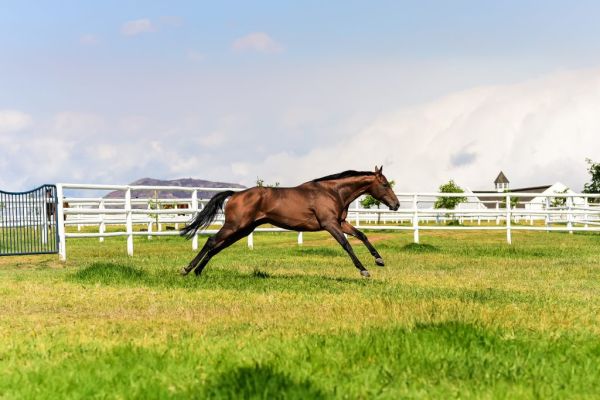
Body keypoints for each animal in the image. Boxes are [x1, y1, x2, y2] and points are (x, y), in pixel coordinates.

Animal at [180, 166, 400, 278]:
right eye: (384, 184)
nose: (396, 205)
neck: (332, 192)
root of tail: (235, 195)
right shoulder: (330, 224)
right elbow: (346, 244)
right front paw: (364, 270)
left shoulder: (341, 222)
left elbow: (362, 235)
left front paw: (379, 260)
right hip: (234, 226)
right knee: (211, 242)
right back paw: (187, 269)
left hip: (243, 230)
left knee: (218, 247)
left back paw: (198, 271)